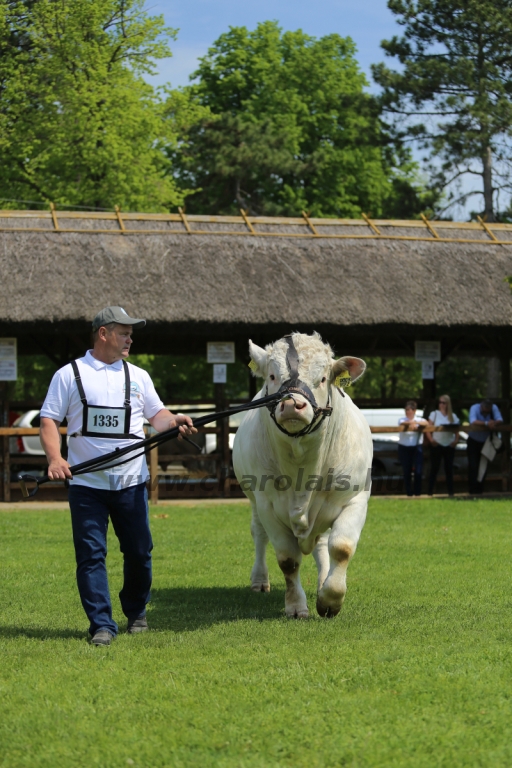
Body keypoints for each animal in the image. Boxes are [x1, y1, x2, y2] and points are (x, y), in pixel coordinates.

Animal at [232, 332, 372, 620]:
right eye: (272, 376)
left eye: (323, 378)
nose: (292, 404)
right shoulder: (267, 504)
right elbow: (288, 559)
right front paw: (296, 606)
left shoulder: (355, 497)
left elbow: (341, 547)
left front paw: (330, 599)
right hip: (253, 500)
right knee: (258, 534)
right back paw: (259, 580)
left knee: (323, 543)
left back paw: (322, 581)